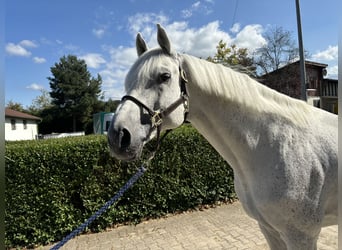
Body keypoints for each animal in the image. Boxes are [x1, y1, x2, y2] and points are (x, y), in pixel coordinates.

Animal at [108, 24, 338, 249]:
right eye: (127, 81)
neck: (271, 145)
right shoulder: (269, 229)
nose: (118, 136)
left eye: (164, 76)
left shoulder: (301, 235)